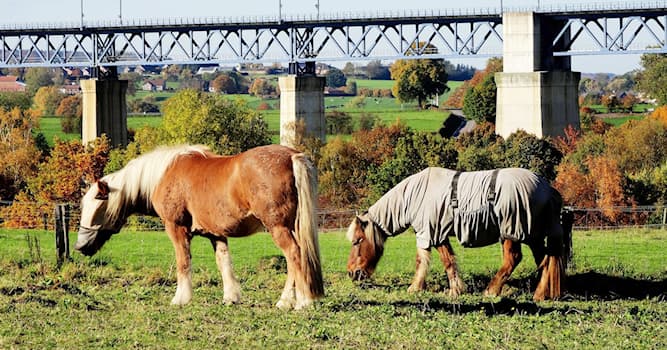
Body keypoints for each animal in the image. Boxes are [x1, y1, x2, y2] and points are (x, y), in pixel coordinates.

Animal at [77, 144, 324, 308]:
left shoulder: (176, 228)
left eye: (97, 204)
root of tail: (292, 156)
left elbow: (183, 262)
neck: (164, 175)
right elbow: (224, 263)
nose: (80, 246)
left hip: (278, 228)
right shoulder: (216, 234)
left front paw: (181, 298)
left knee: (294, 256)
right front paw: (231, 297)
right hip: (294, 227)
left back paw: (297, 302)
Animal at [348, 167, 572, 300]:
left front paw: (416, 288)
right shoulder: (437, 234)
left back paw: (492, 291)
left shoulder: (431, 232)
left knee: (513, 259)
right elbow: (447, 261)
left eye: (357, 241)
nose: (352, 273)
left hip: (512, 232)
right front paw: (455, 289)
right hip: (532, 235)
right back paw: (540, 294)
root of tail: (547, 188)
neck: (417, 194)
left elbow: (431, 261)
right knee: (544, 261)